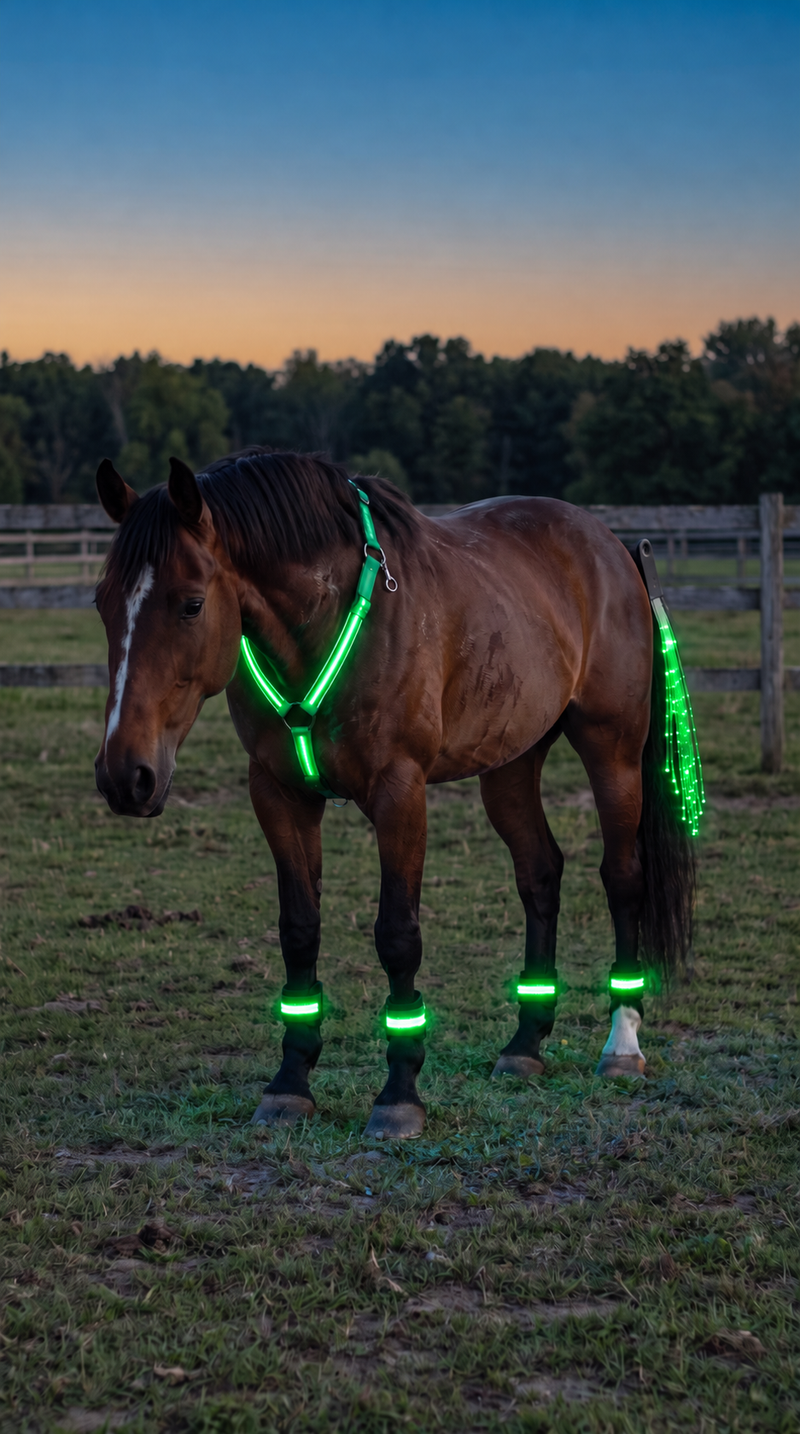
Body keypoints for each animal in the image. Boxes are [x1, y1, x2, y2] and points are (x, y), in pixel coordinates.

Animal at [93, 447, 697, 1139]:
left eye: (191, 605)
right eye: (102, 603)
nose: (125, 775)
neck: (326, 620)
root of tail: (611, 546)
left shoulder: (399, 793)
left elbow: (398, 935)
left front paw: (400, 1094)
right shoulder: (277, 793)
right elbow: (299, 930)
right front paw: (289, 1083)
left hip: (612, 750)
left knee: (622, 878)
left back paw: (622, 1045)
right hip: (510, 766)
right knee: (541, 874)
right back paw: (525, 1044)